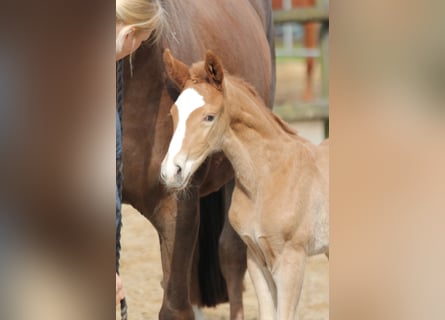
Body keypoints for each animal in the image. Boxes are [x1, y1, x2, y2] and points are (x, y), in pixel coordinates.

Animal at [161, 49, 328, 320]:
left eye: (209, 117)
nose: (170, 172)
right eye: (173, 114)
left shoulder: (291, 261)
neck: (267, 179)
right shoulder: (256, 259)